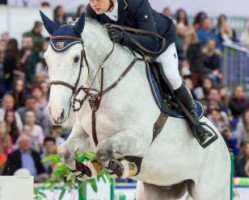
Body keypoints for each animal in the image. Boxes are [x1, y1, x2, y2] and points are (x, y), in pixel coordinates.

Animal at [40, 12, 230, 198]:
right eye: (46, 59)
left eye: (76, 58)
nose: (56, 112)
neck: (100, 95)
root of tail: (225, 146)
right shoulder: (86, 134)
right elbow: (64, 150)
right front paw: (85, 170)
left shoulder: (139, 138)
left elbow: (103, 150)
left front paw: (119, 167)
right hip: (160, 188)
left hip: (209, 189)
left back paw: (203, 133)